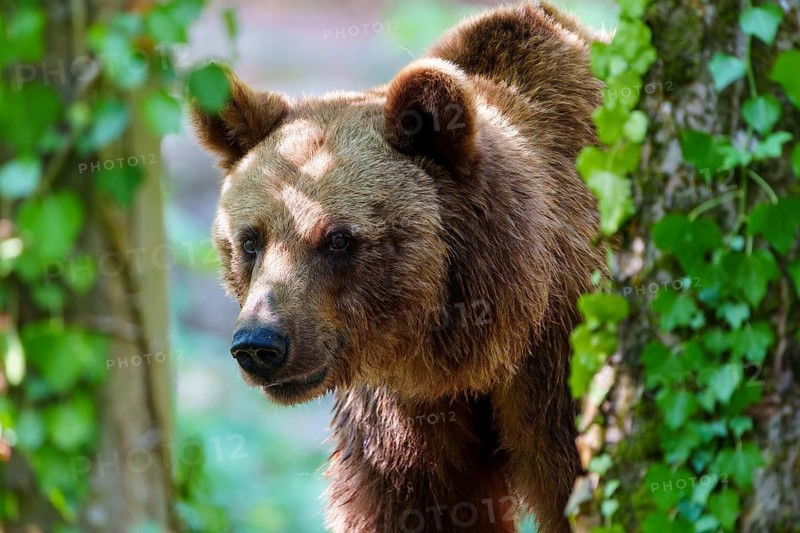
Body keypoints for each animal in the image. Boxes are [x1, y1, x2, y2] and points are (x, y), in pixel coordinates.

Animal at [192, 2, 605, 532]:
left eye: (338, 239)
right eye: (250, 240)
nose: (260, 344)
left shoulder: (564, 369)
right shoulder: (403, 419)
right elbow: (417, 508)